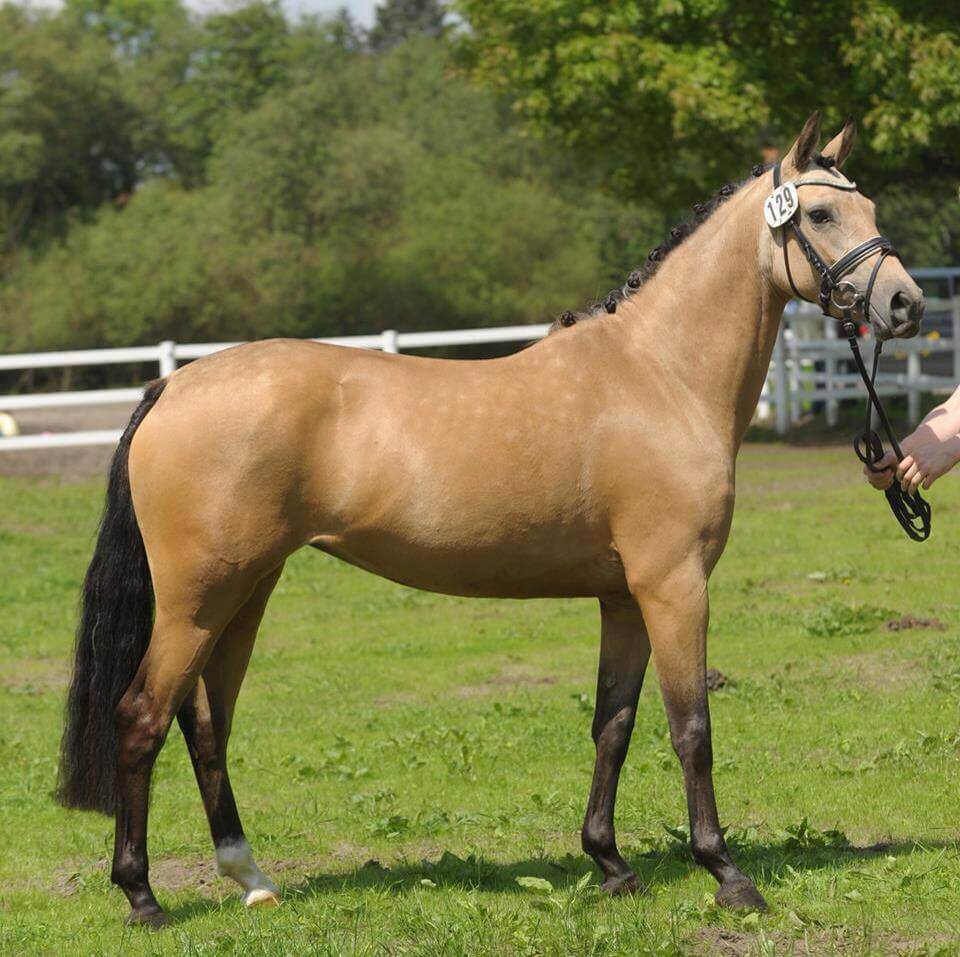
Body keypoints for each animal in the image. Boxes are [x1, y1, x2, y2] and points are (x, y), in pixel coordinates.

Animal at [56, 113, 924, 927]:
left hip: (246, 590)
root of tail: (172, 385)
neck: (659, 374)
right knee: (142, 716)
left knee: (206, 722)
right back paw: (142, 895)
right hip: (198, 598)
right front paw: (727, 874)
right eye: (819, 213)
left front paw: (611, 864)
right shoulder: (674, 586)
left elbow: (613, 724)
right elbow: (691, 728)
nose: (905, 303)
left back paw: (250, 877)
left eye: (870, 207)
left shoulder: (623, 596)